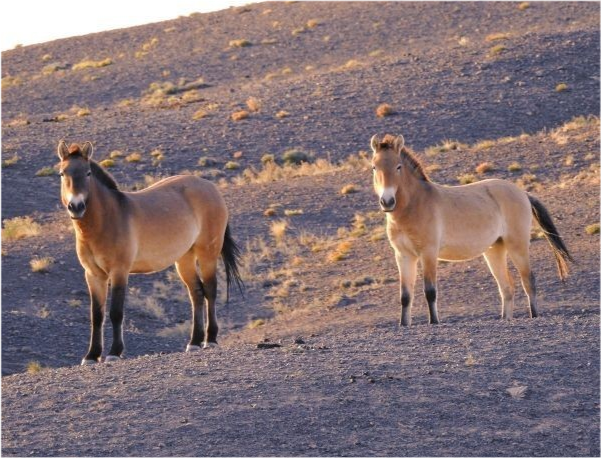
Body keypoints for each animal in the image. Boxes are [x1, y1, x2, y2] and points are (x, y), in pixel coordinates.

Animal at [57, 141, 241, 364]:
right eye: (62, 173)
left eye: (88, 173)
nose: (76, 207)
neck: (107, 219)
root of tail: (210, 187)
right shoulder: (93, 275)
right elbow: (97, 315)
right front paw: (92, 355)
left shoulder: (119, 272)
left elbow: (116, 312)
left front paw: (114, 352)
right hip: (184, 259)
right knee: (196, 292)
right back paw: (194, 342)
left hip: (207, 253)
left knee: (210, 290)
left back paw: (211, 339)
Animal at [370, 132, 572, 326]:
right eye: (374, 167)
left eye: (398, 167)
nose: (387, 202)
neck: (415, 204)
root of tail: (523, 193)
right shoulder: (404, 256)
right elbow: (405, 296)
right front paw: (404, 324)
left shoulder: (428, 253)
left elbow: (430, 291)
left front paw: (434, 322)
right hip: (494, 250)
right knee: (507, 287)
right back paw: (505, 319)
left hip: (518, 247)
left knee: (528, 281)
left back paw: (534, 316)